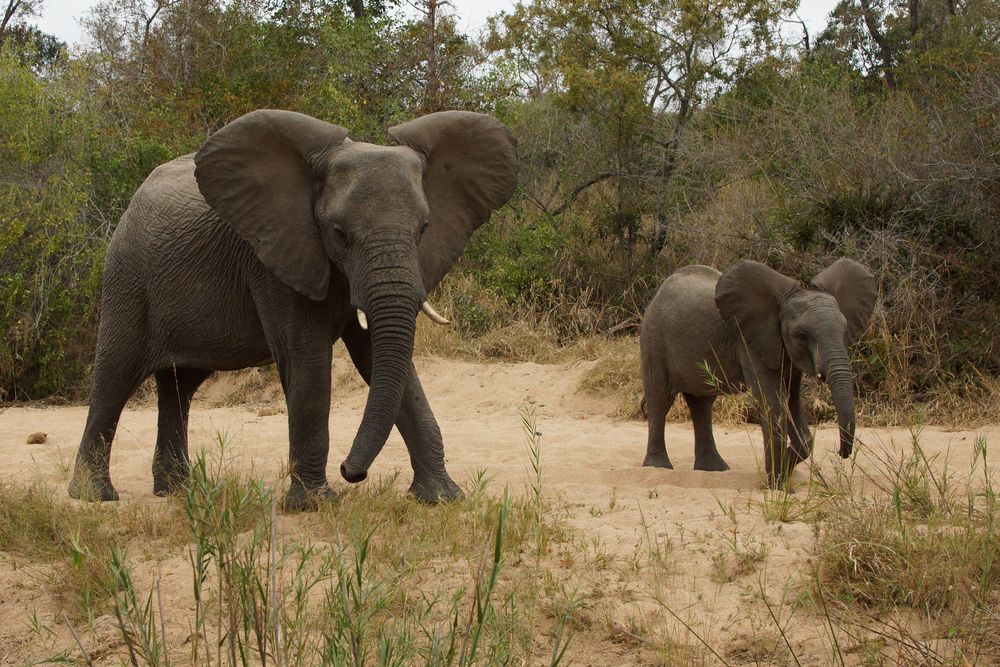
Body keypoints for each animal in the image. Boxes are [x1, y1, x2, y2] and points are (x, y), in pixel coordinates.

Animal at [70, 109, 520, 508]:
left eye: (424, 229)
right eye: (339, 233)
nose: (352, 471)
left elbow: (385, 361)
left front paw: (442, 498)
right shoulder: (275, 257)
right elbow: (308, 361)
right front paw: (314, 503)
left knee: (179, 386)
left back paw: (178, 492)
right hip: (128, 275)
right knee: (116, 375)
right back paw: (95, 496)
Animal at [640, 260, 876, 486]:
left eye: (844, 332)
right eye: (802, 335)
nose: (841, 452)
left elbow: (790, 402)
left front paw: (786, 467)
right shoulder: (750, 343)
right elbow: (773, 405)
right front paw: (777, 485)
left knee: (702, 403)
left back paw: (714, 469)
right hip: (654, 340)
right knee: (660, 400)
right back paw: (658, 467)